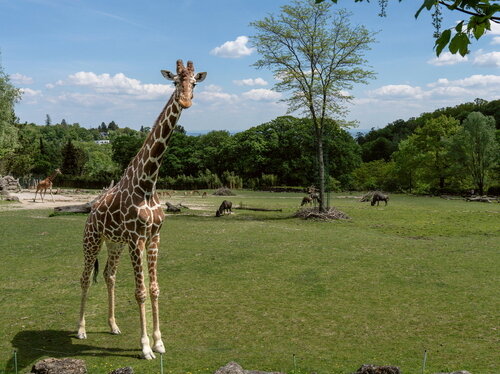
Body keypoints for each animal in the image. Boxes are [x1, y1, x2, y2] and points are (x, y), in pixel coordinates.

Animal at [77, 60, 206, 360]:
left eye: (194, 82)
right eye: (175, 82)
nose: (185, 100)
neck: (148, 183)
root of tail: (91, 210)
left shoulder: (154, 236)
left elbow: (155, 289)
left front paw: (159, 342)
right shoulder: (137, 238)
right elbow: (140, 292)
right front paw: (146, 347)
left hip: (114, 243)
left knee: (109, 275)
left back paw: (112, 325)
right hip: (92, 239)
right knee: (85, 278)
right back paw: (81, 330)